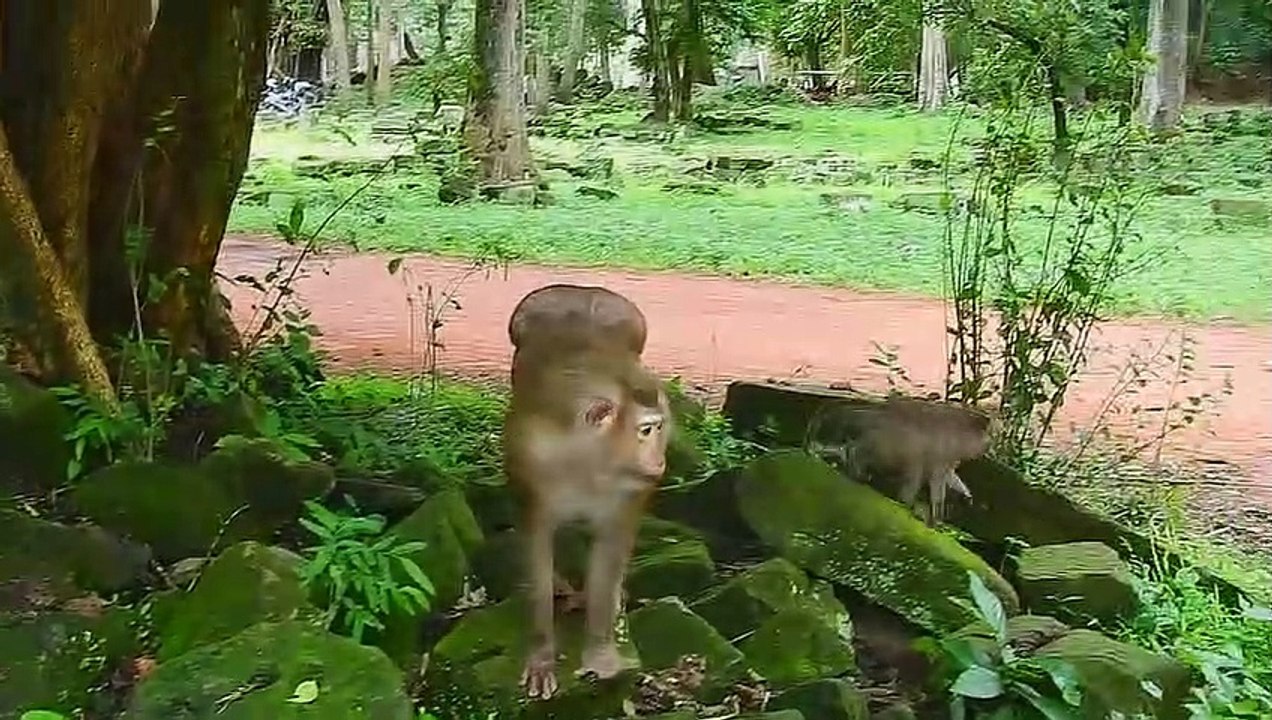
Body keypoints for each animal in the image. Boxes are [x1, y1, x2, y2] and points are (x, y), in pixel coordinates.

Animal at [503, 284, 671, 700]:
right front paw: (542, 656)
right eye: (645, 431)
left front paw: (600, 652)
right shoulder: (533, 460)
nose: (659, 460)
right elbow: (536, 541)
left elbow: (610, 547)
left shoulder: (630, 488)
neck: (589, 461)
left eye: (661, 429)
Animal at [804, 395, 992, 525]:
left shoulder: (948, 459)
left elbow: (949, 476)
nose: (988, 445)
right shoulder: (941, 455)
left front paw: (965, 494)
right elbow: (937, 483)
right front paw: (936, 516)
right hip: (888, 444)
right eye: (985, 436)